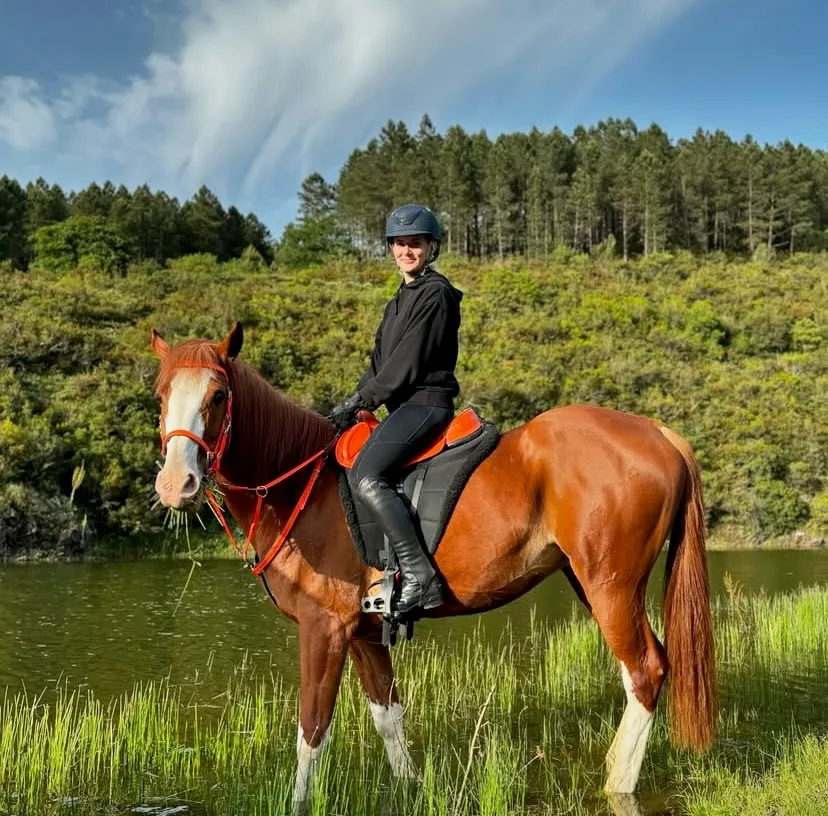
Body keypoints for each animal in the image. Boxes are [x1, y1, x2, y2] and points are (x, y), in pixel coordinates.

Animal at [152, 324, 716, 808]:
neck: (298, 486)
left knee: (644, 671)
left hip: (610, 585)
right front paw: (410, 790)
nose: (176, 484)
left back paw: (618, 784)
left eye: (218, 396)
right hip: (588, 581)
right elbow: (388, 718)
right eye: (160, 395)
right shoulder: (363, 633)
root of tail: (657, 433)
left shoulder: (323, 628)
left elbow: (311, 731)